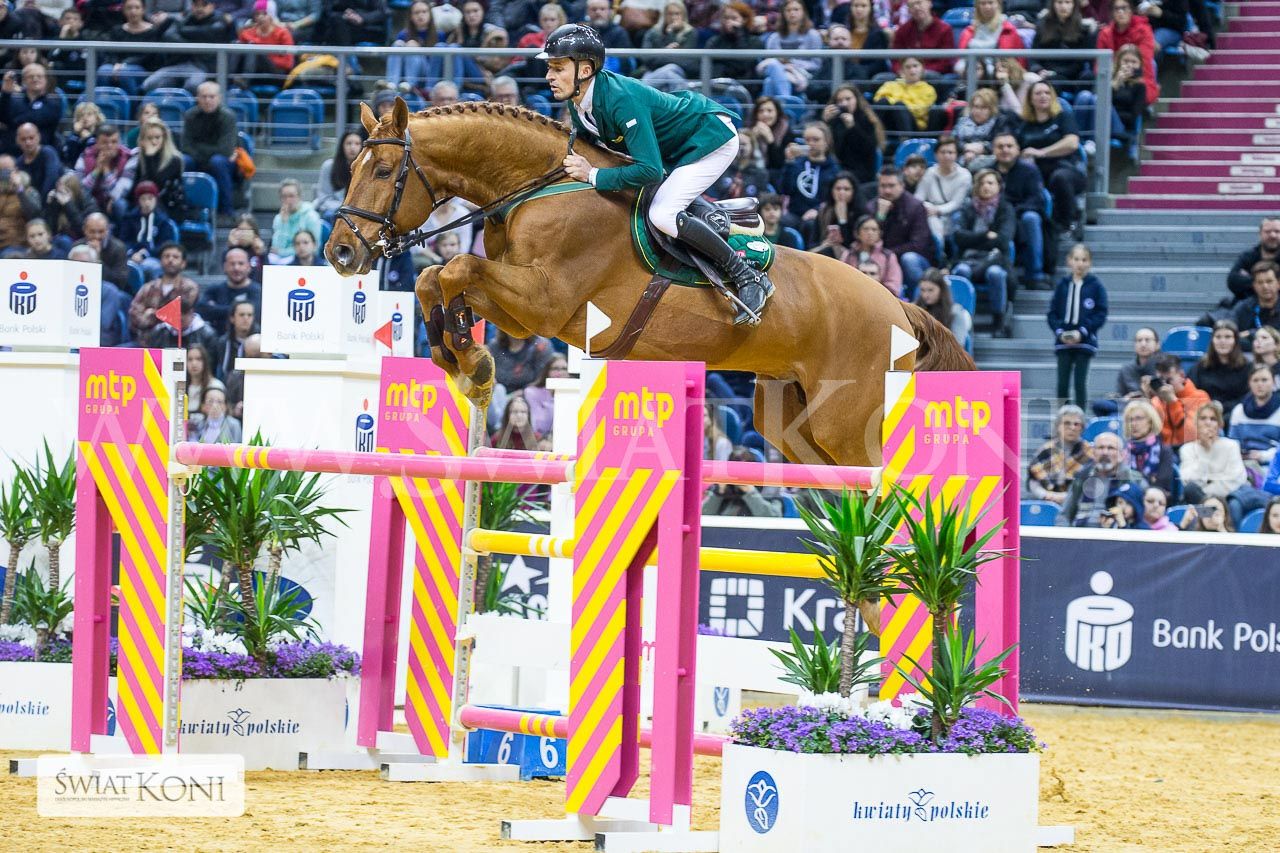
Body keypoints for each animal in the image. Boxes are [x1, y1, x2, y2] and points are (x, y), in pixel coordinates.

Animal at [326, 98, 974, 467]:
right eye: (352, 166)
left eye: (382, 170)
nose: (340, 252)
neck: (538, 187)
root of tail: (899, 307)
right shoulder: (521, 308)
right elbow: (436, 277)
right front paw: (463, 359)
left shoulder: (544, 301)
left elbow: (454, 269)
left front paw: (468, 359)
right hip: (790, 421)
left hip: (847, 423)